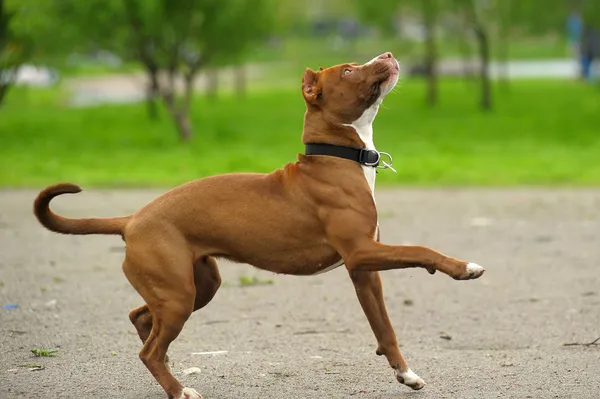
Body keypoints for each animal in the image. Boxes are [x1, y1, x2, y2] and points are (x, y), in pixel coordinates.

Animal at [32, 53, 486, 399]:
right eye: (348, 71)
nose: (388, 55)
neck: (339, 157)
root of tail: (132, 220)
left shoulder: (364, 271)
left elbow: (385, 329)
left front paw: (405, 374)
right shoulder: (361, 254)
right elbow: (421, 250)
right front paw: (464, 268)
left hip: (196, 286)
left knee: (142, 320)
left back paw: (169, 369)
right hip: (180, 294)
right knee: (149, 350)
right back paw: (179, 390)